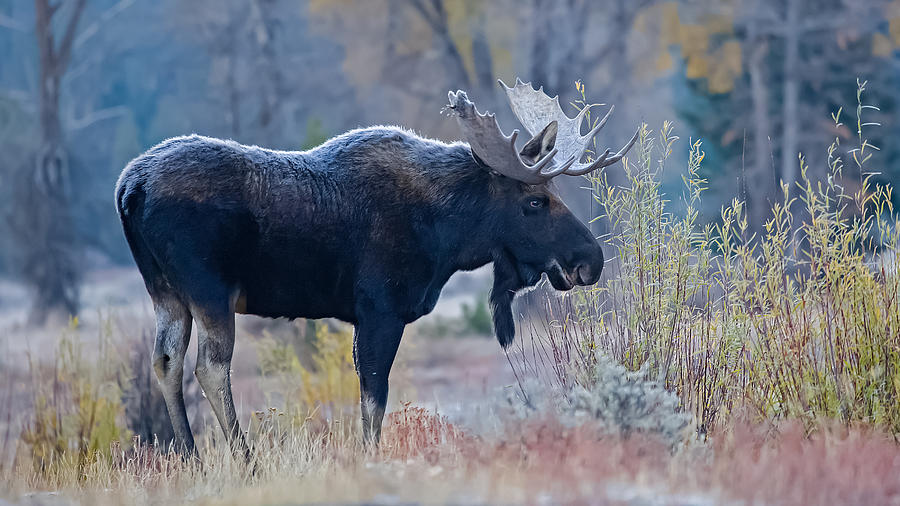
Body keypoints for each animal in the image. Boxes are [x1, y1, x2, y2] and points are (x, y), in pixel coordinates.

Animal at [118, 78, 640, 454]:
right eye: (535, 201)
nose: (591, 260)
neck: (446, 232)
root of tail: (130, 188)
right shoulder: (380, 310)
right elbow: (375, 397)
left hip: (165, 292)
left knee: (164, 361)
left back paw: (190, 456)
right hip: (209, 290)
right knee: (209, 366)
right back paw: (244, 460)